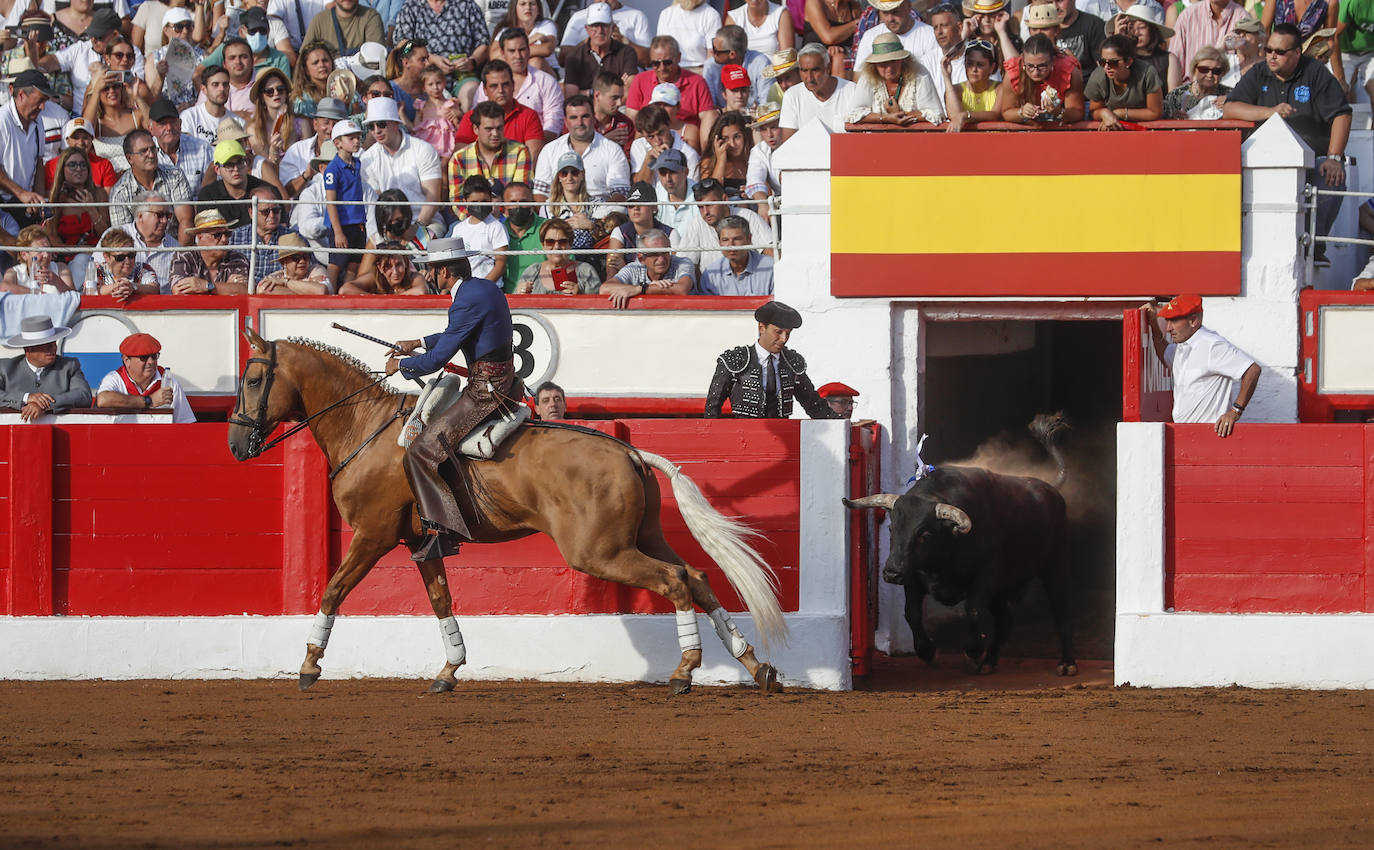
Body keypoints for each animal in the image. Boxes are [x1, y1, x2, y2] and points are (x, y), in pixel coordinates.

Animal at [230, 329, 791, 694]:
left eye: (254, 380)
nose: (236, 444)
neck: (365, 427)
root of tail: (630, 451)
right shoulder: (420, 543)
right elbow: (441, 599)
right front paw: (449, 670)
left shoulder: (373, 535)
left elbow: (333, 590)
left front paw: (308, 665)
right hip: (643, 537)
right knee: (696, 575)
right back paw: (755, 667)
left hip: (599, 552)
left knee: (674, 580)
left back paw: (684, 671)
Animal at [840, 420, 1077, 678]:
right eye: (892, 529)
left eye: (925, 534)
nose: (892, 573)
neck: (943, 557)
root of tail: (1050, 490)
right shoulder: (913, 577)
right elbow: (911, 612)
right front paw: (927, 651)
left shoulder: (985, 576)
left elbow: (972, 610)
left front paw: (972, 652)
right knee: (1005, 621)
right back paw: (990, 661)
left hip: (1056, 567)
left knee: (1062, 613)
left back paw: (1067, 663)